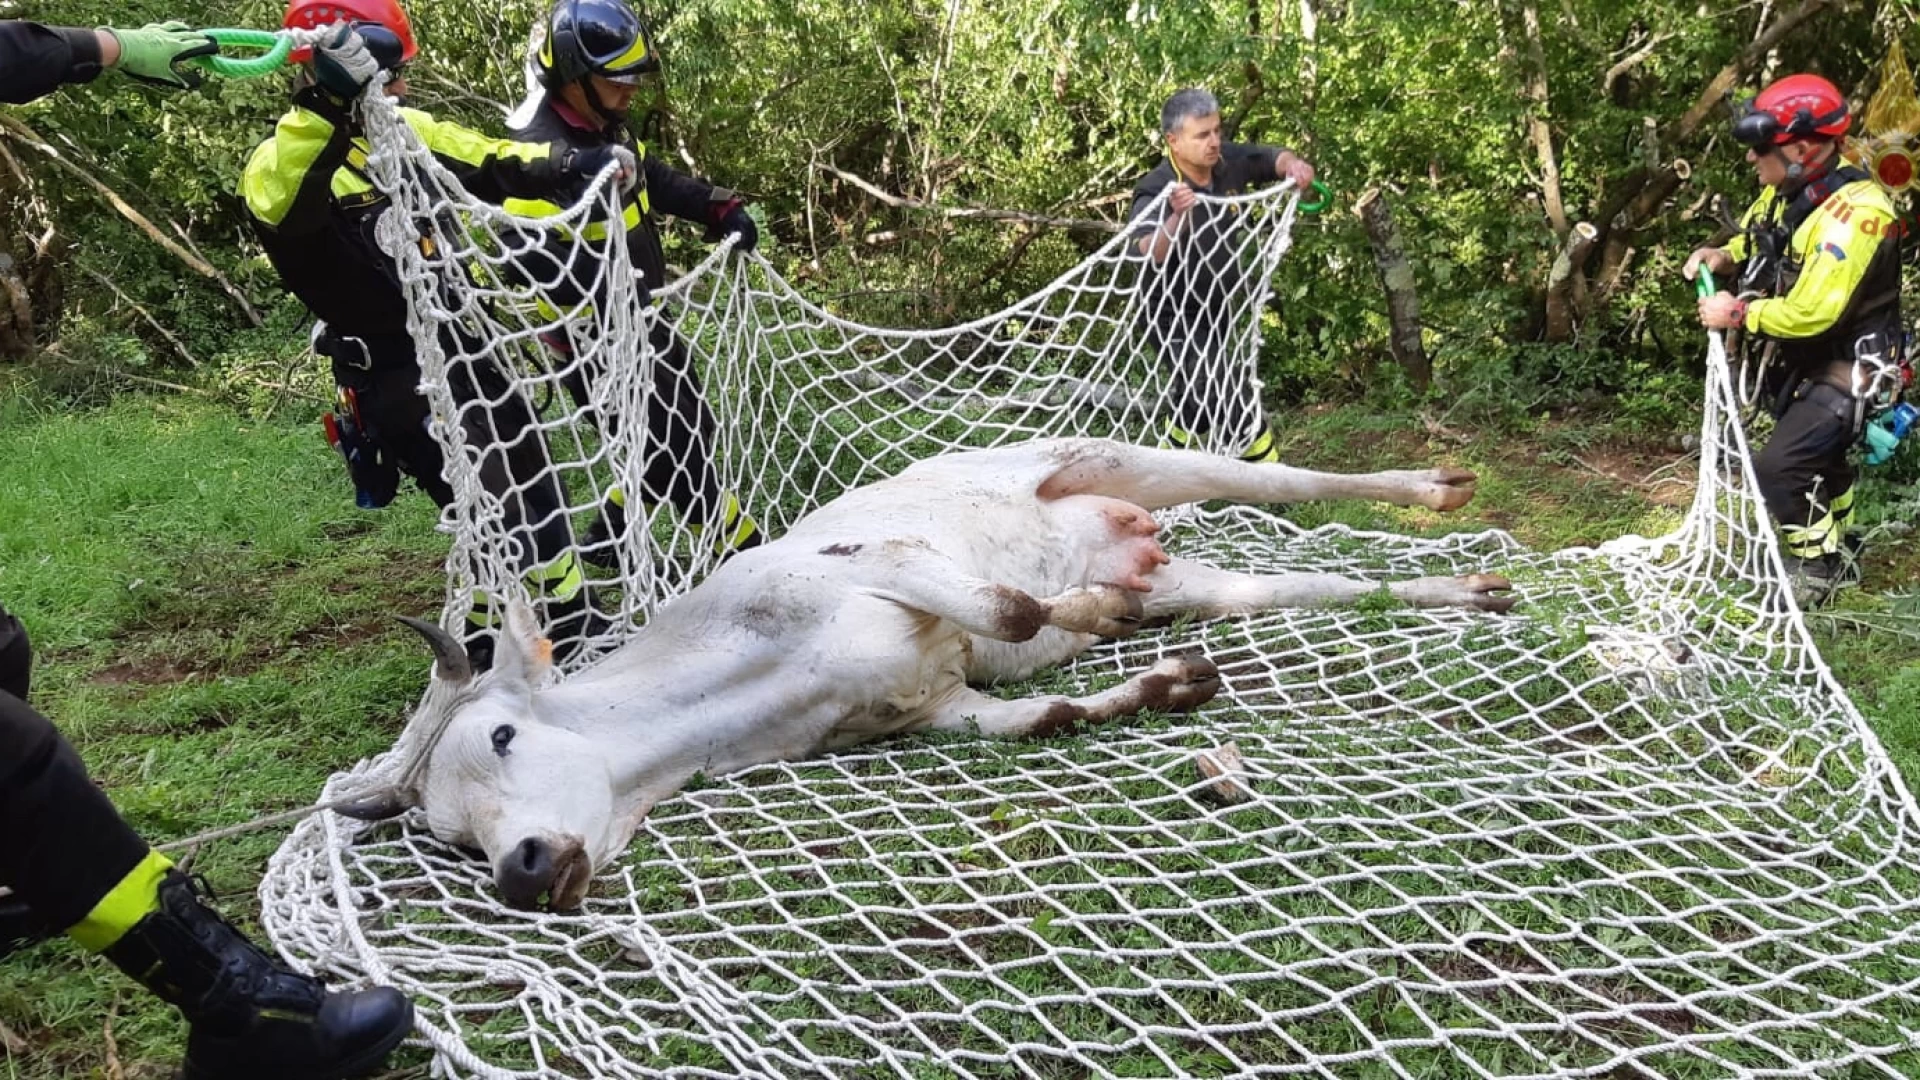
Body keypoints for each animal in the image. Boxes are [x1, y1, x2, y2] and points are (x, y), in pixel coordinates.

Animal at [345, 440, 1512, 907]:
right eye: (454, 840)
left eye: (501, 734)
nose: (521, 868)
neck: (741, 691)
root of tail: (1132, 529)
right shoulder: (934, 711)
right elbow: (1044, 714)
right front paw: (1167, 684)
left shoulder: (878, 563)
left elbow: (1012, 610)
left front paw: (1085, 616)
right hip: (1200, 573)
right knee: (1302, 585)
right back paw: (1469, 589)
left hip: (1107, 456)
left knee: (1287, 481)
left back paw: (1435, 488)